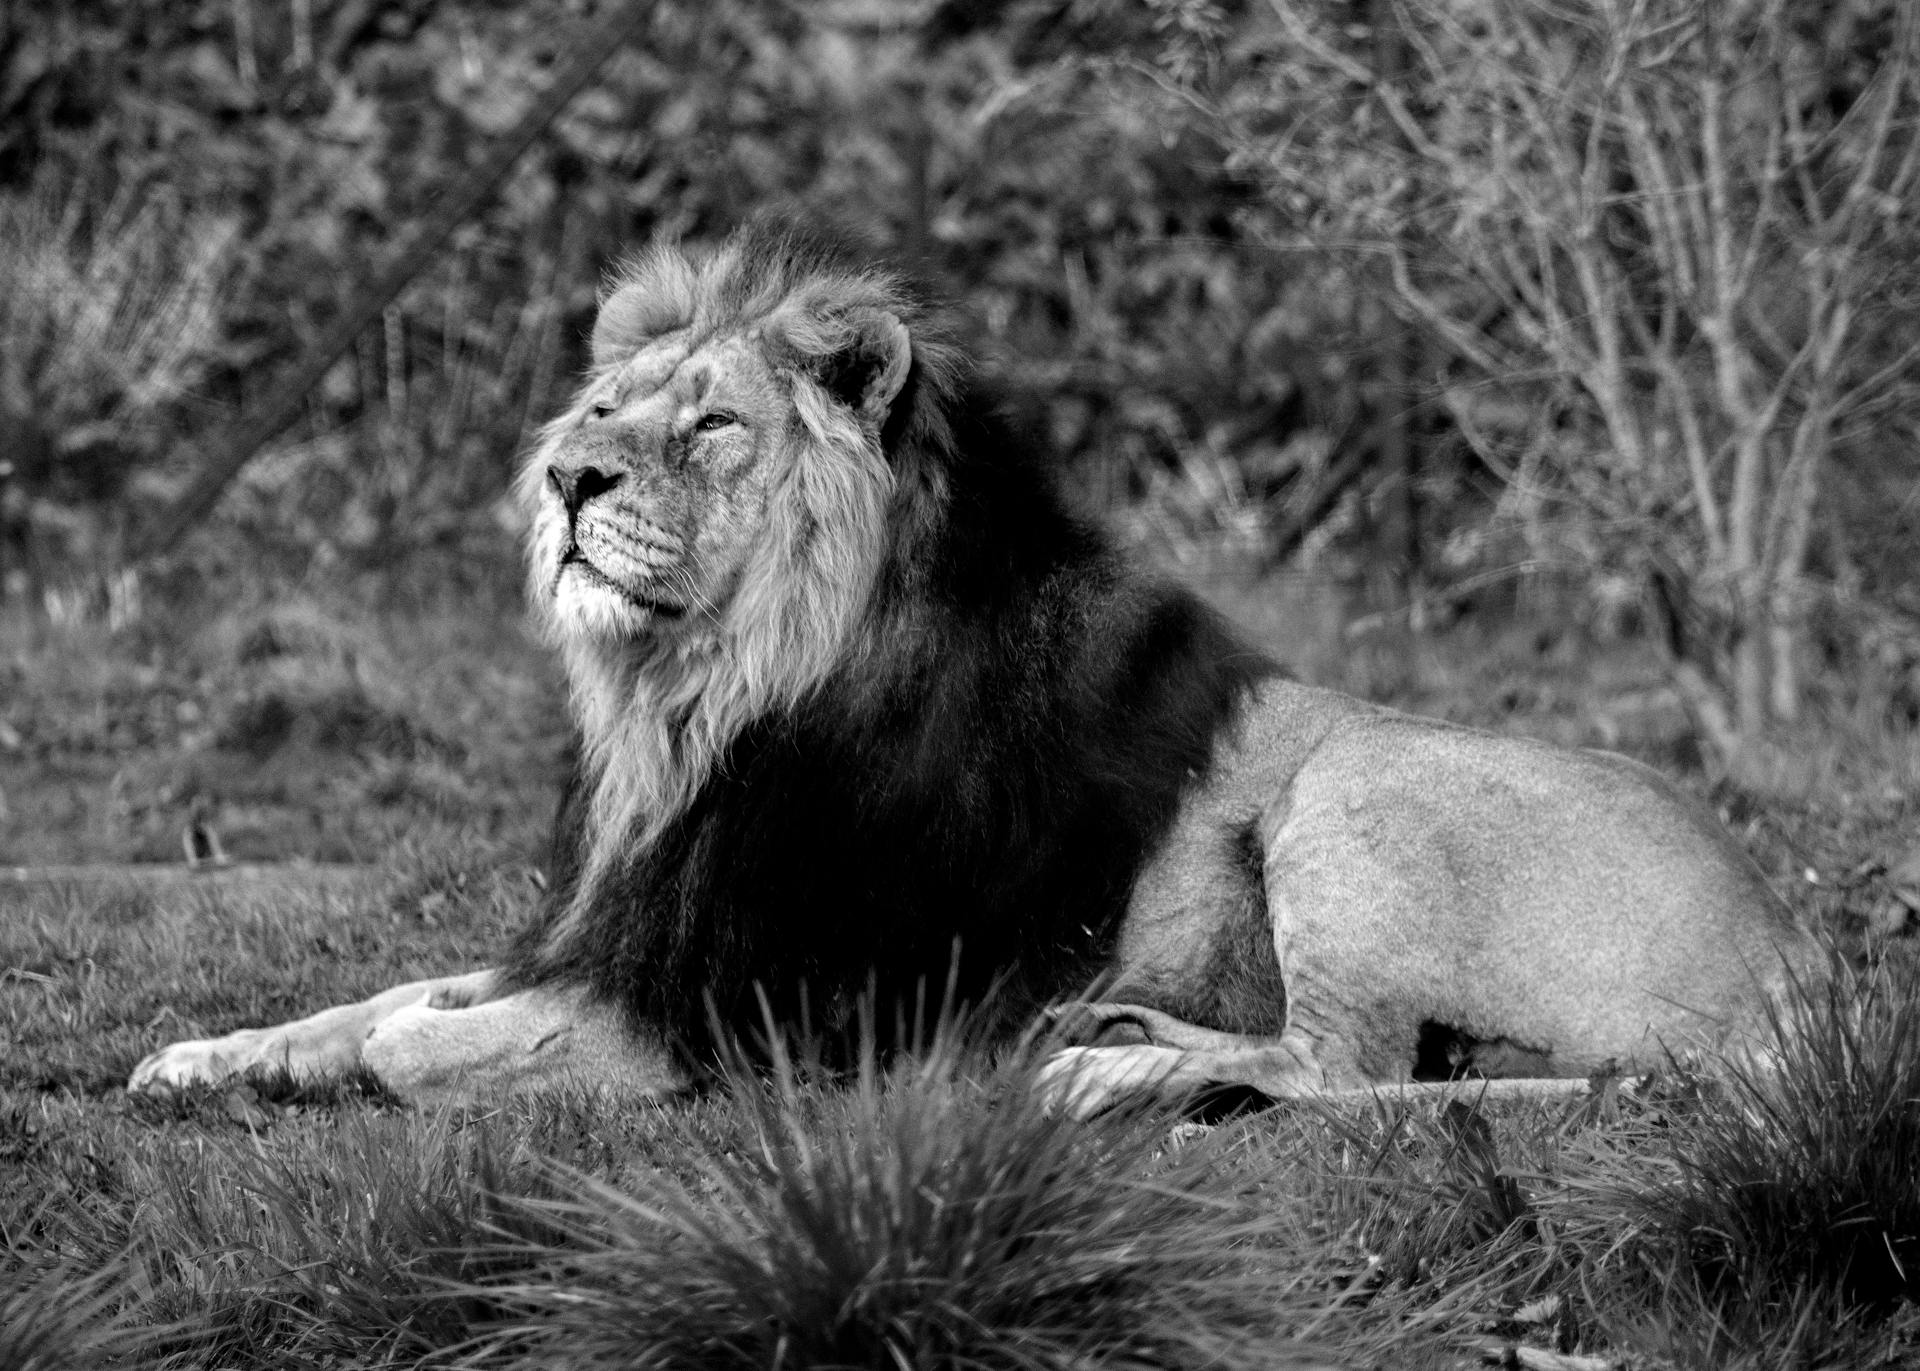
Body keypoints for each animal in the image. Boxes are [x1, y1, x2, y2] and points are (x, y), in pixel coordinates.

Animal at [123, 224, 1812, 1113]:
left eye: (711, 423)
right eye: (602, 406)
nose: (570, 481)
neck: (697, 697)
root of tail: (1796, 969)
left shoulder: (748, 1008)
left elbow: (416, 1035)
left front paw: (362, 1054)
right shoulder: (625, 936)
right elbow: (379, 992)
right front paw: (203, 1052)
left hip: (1353, 781)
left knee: (1347, 1070)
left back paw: (1101, 1072)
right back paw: (1114, 1043)